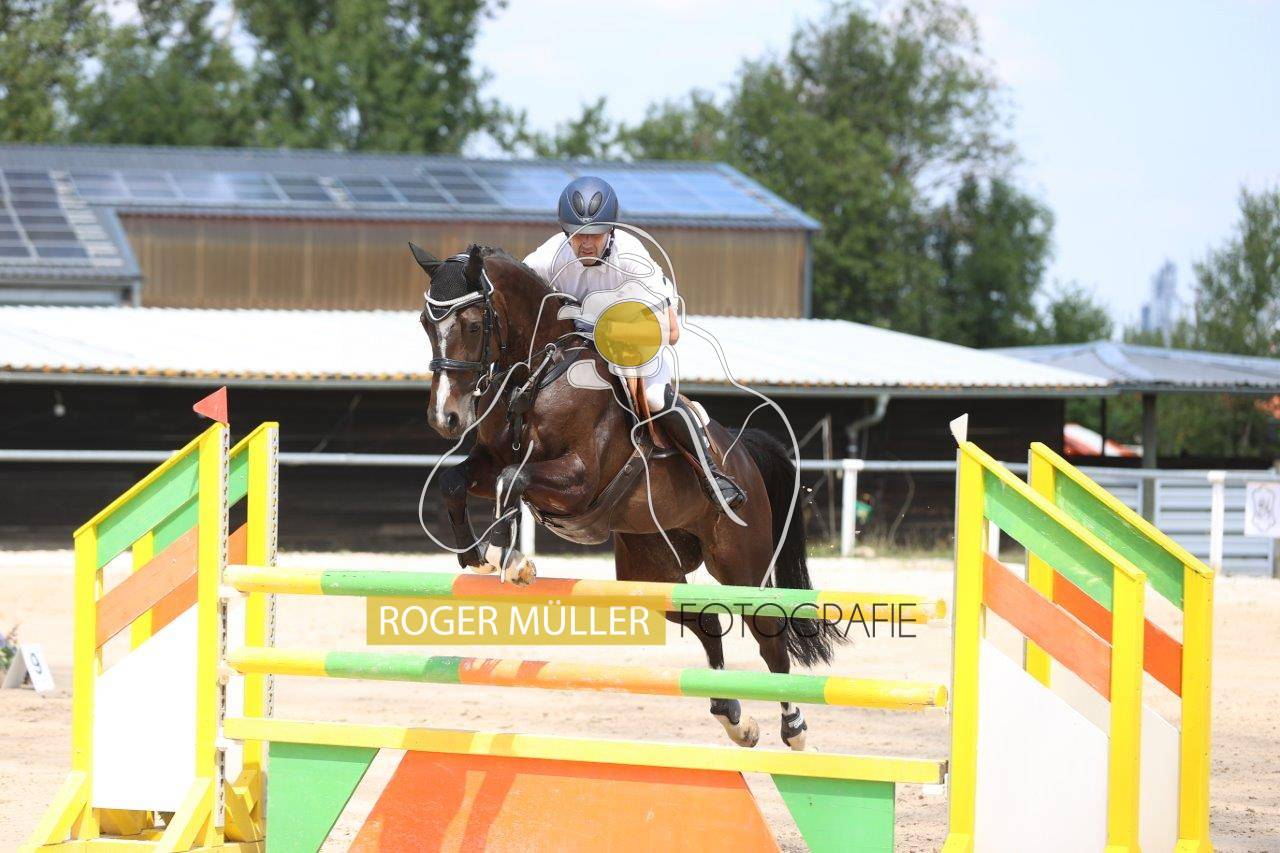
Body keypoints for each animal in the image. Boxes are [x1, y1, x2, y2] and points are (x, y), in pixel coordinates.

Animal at [413, 242, 842, 750]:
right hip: (651, 565)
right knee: (702, 622)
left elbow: (512, 481)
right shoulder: (491, 460)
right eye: (425, 323)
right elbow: (456, 482)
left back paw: (793, 726)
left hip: (740, 561)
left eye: (475, 325)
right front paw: (473, 556)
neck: (536, 375)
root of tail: (742, 454)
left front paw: (510, 559)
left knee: (769, 635)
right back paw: (734, 717)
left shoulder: (578, 480)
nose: (446, 418)